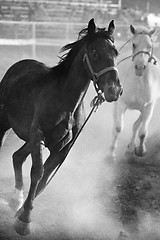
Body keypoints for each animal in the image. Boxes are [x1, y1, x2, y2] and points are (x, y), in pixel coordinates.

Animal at [0, 18, 122, 234]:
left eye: (115, 53)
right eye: (94, 53)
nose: (113, 90)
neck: (65, 102)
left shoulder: (62, 149)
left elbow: (44, 178)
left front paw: (21, 213)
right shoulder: (38, 136)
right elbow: (38, 172)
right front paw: (24, 221)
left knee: (17, 156)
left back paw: (16, 199)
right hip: (4, 120)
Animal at [109, 23, 160, 159]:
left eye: (149, 46)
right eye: (133, 44)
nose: (140, 67)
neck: (139, 82)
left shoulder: (149, 107)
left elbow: (142, 132)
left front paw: (140, 150)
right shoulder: (122, 104)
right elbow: (118, 127)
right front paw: (111, 153)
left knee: (136, 126)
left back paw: (130, 148)